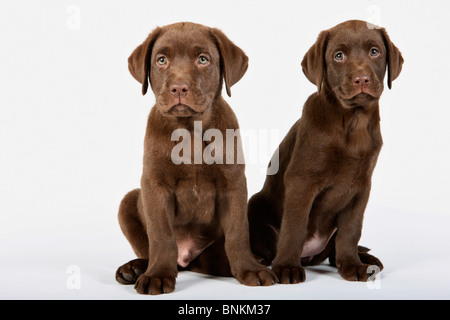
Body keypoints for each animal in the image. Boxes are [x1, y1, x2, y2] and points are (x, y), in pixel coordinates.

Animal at [115, 22, 278, 296]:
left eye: (203, 59)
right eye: (161, 60)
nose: (179, 88)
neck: (189, 129)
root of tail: (186, 259)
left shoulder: (233, 183)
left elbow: (237, 232)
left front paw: (249, 269)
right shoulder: (154, 184)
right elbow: (161, 235)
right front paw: (157, 275)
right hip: (128, 201)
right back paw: (135, 268)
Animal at [248, 20, 402, 282]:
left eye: (375, 51)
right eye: (338, 56)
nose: (362, 79)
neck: (353, 121)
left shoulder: (361, 187)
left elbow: (351, 230)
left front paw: (351, 265)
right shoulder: (301, 181)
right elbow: (294, 227)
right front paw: (286, 267)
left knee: (333, 249)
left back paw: (366, 259)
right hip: (255, 205)